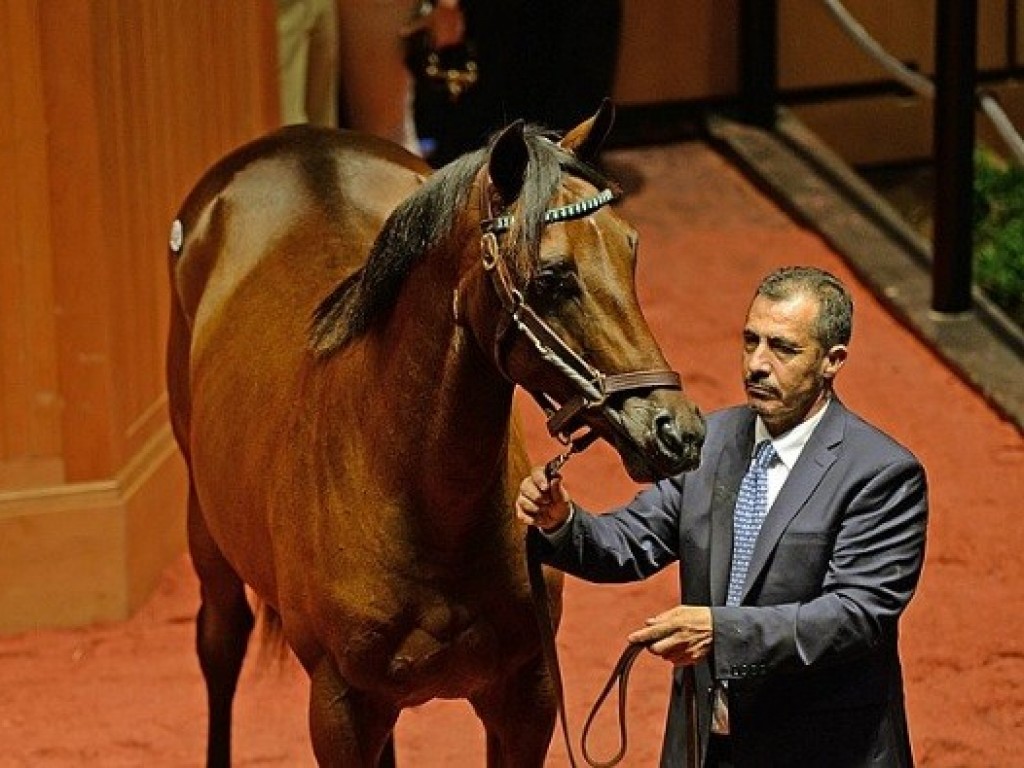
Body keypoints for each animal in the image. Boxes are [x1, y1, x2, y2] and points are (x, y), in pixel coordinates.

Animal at [165, 103, 704, 768]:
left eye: (631, 249)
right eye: (551, 277)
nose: (676, 431)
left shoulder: (526, 697)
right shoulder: (339, 711)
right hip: (205, 524)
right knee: (220, 643)